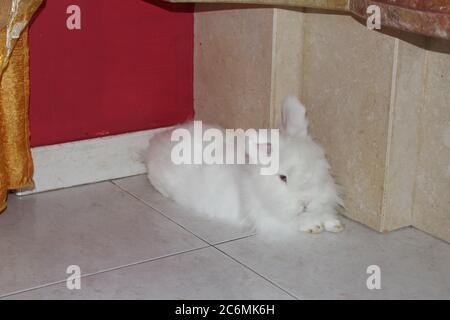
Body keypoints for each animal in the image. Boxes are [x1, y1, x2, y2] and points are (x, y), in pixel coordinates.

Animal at [146, 96, 342, 236]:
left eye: (317, 168)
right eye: (283, 177)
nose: (306, 202)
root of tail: (156, 142)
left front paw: (333, 223)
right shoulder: (268, 219)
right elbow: (291, 223)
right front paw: (314, 225)